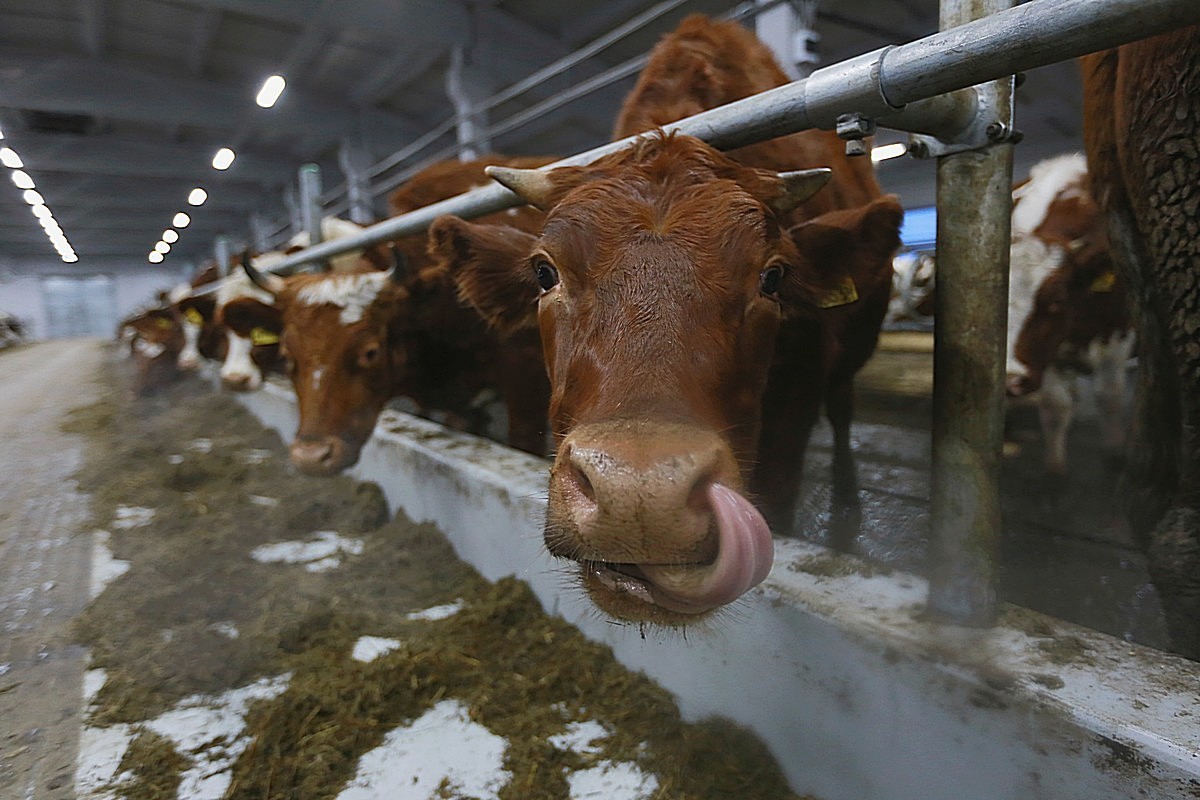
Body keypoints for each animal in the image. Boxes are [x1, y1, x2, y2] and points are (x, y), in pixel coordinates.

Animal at [1003, 153, 1132, 474]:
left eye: (1058, 300)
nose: (1010, 379)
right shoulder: (1047, 350)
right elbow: (1055, 405)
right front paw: (1055, 468)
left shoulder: (1120, 331)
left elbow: (1110, 395)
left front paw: (1114, 451)